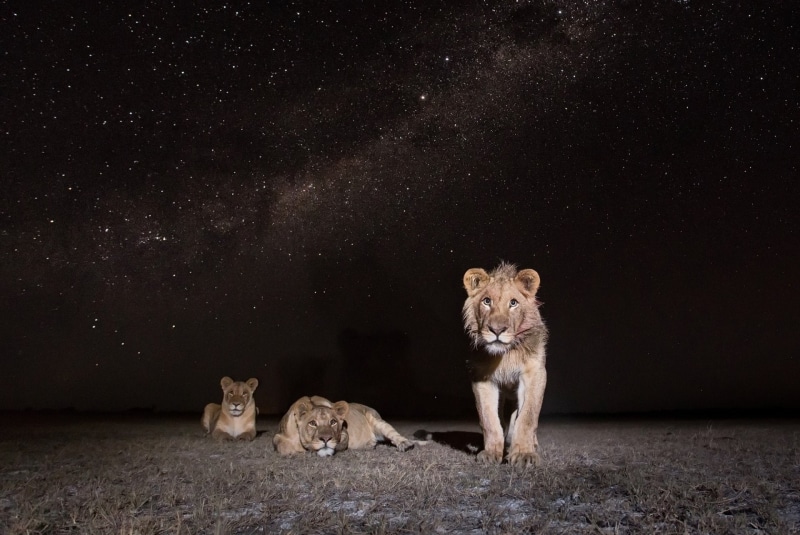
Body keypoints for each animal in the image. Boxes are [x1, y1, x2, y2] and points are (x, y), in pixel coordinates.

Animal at [273, 396, 414, 456]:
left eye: (333, 422)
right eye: (312, 423)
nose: (325, 439)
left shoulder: (344, 433)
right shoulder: (277, 436)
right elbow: (283, 447)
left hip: (377, 420)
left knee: (394, 434)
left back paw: (404, 444)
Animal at [462, 262, 548, 467]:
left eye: (513, 303)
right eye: (487, 301)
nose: (497, 330)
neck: (505, 355)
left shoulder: (534, 374)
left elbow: (527, 417)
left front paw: (524, 454)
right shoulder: (482, 378)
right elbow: (489, 420)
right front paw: (491, 453)